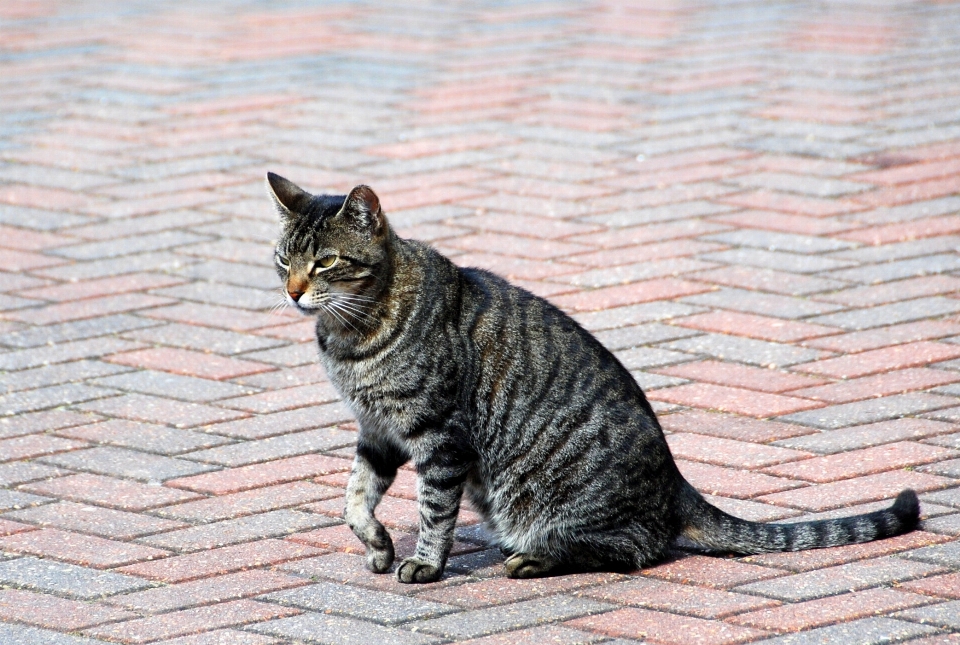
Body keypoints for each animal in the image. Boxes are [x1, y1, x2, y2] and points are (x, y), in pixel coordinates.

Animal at [266, 172, 920, 584]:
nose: (293, 291)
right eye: (283, 260)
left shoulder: (439, 436)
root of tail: (676, 481)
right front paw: (377, 544)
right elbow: (353, 499)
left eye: (325, 262)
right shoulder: (377, 432)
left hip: (547, 497)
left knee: (636, 547)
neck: (347, 336)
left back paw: (536, 558)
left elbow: (433, 510)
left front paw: (425, 563)